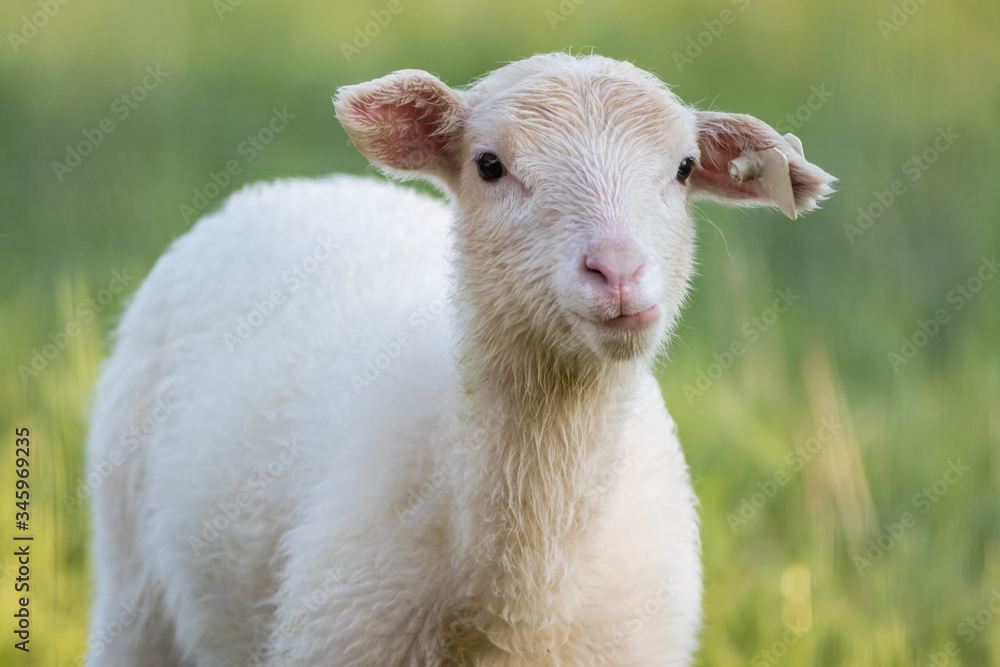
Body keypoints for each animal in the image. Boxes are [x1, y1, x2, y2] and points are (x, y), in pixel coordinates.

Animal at [85, 52, 835, 667]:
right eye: (489, 165)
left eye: (682, 170)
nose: (618, 272)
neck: (518, 604)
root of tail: (287, 186)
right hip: (130, 575)